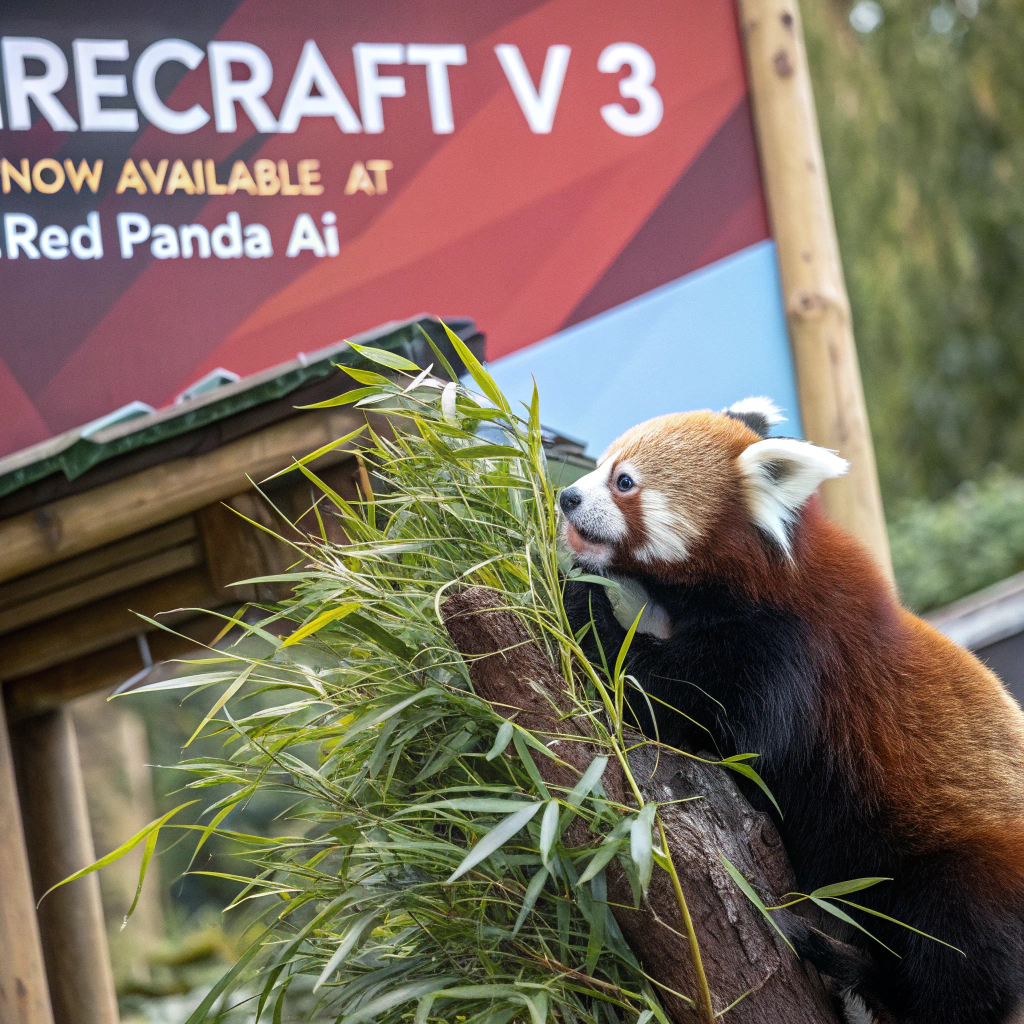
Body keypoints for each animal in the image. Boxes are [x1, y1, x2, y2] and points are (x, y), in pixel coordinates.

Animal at [559, 398, 1024, 1024]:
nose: (567, 497)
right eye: (599, 465)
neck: (762, 577)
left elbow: (678, 710)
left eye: (624, 481)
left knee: (955, 956)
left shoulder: (787, 656)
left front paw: (580, 596)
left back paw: (852, 969)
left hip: (965, 868)